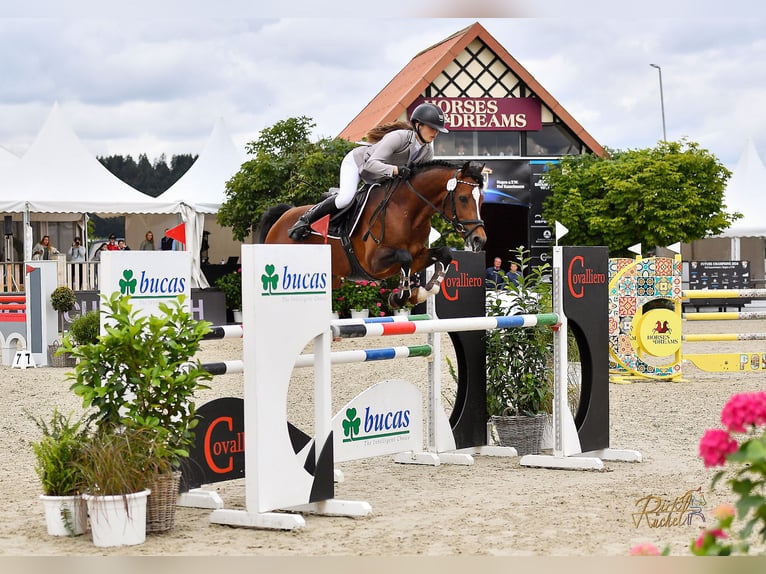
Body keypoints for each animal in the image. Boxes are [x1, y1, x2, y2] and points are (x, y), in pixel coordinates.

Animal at [256, 160, 486, 308]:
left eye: (482, 199)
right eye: (463, 198)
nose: (479, 239)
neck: (407, 211)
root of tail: (282, 217)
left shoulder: (419, 254)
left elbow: (445, 254)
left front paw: (419, 293)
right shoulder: (373, 263)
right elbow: (405, 258)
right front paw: (399, 298)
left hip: (331, 278)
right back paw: (300, 225)